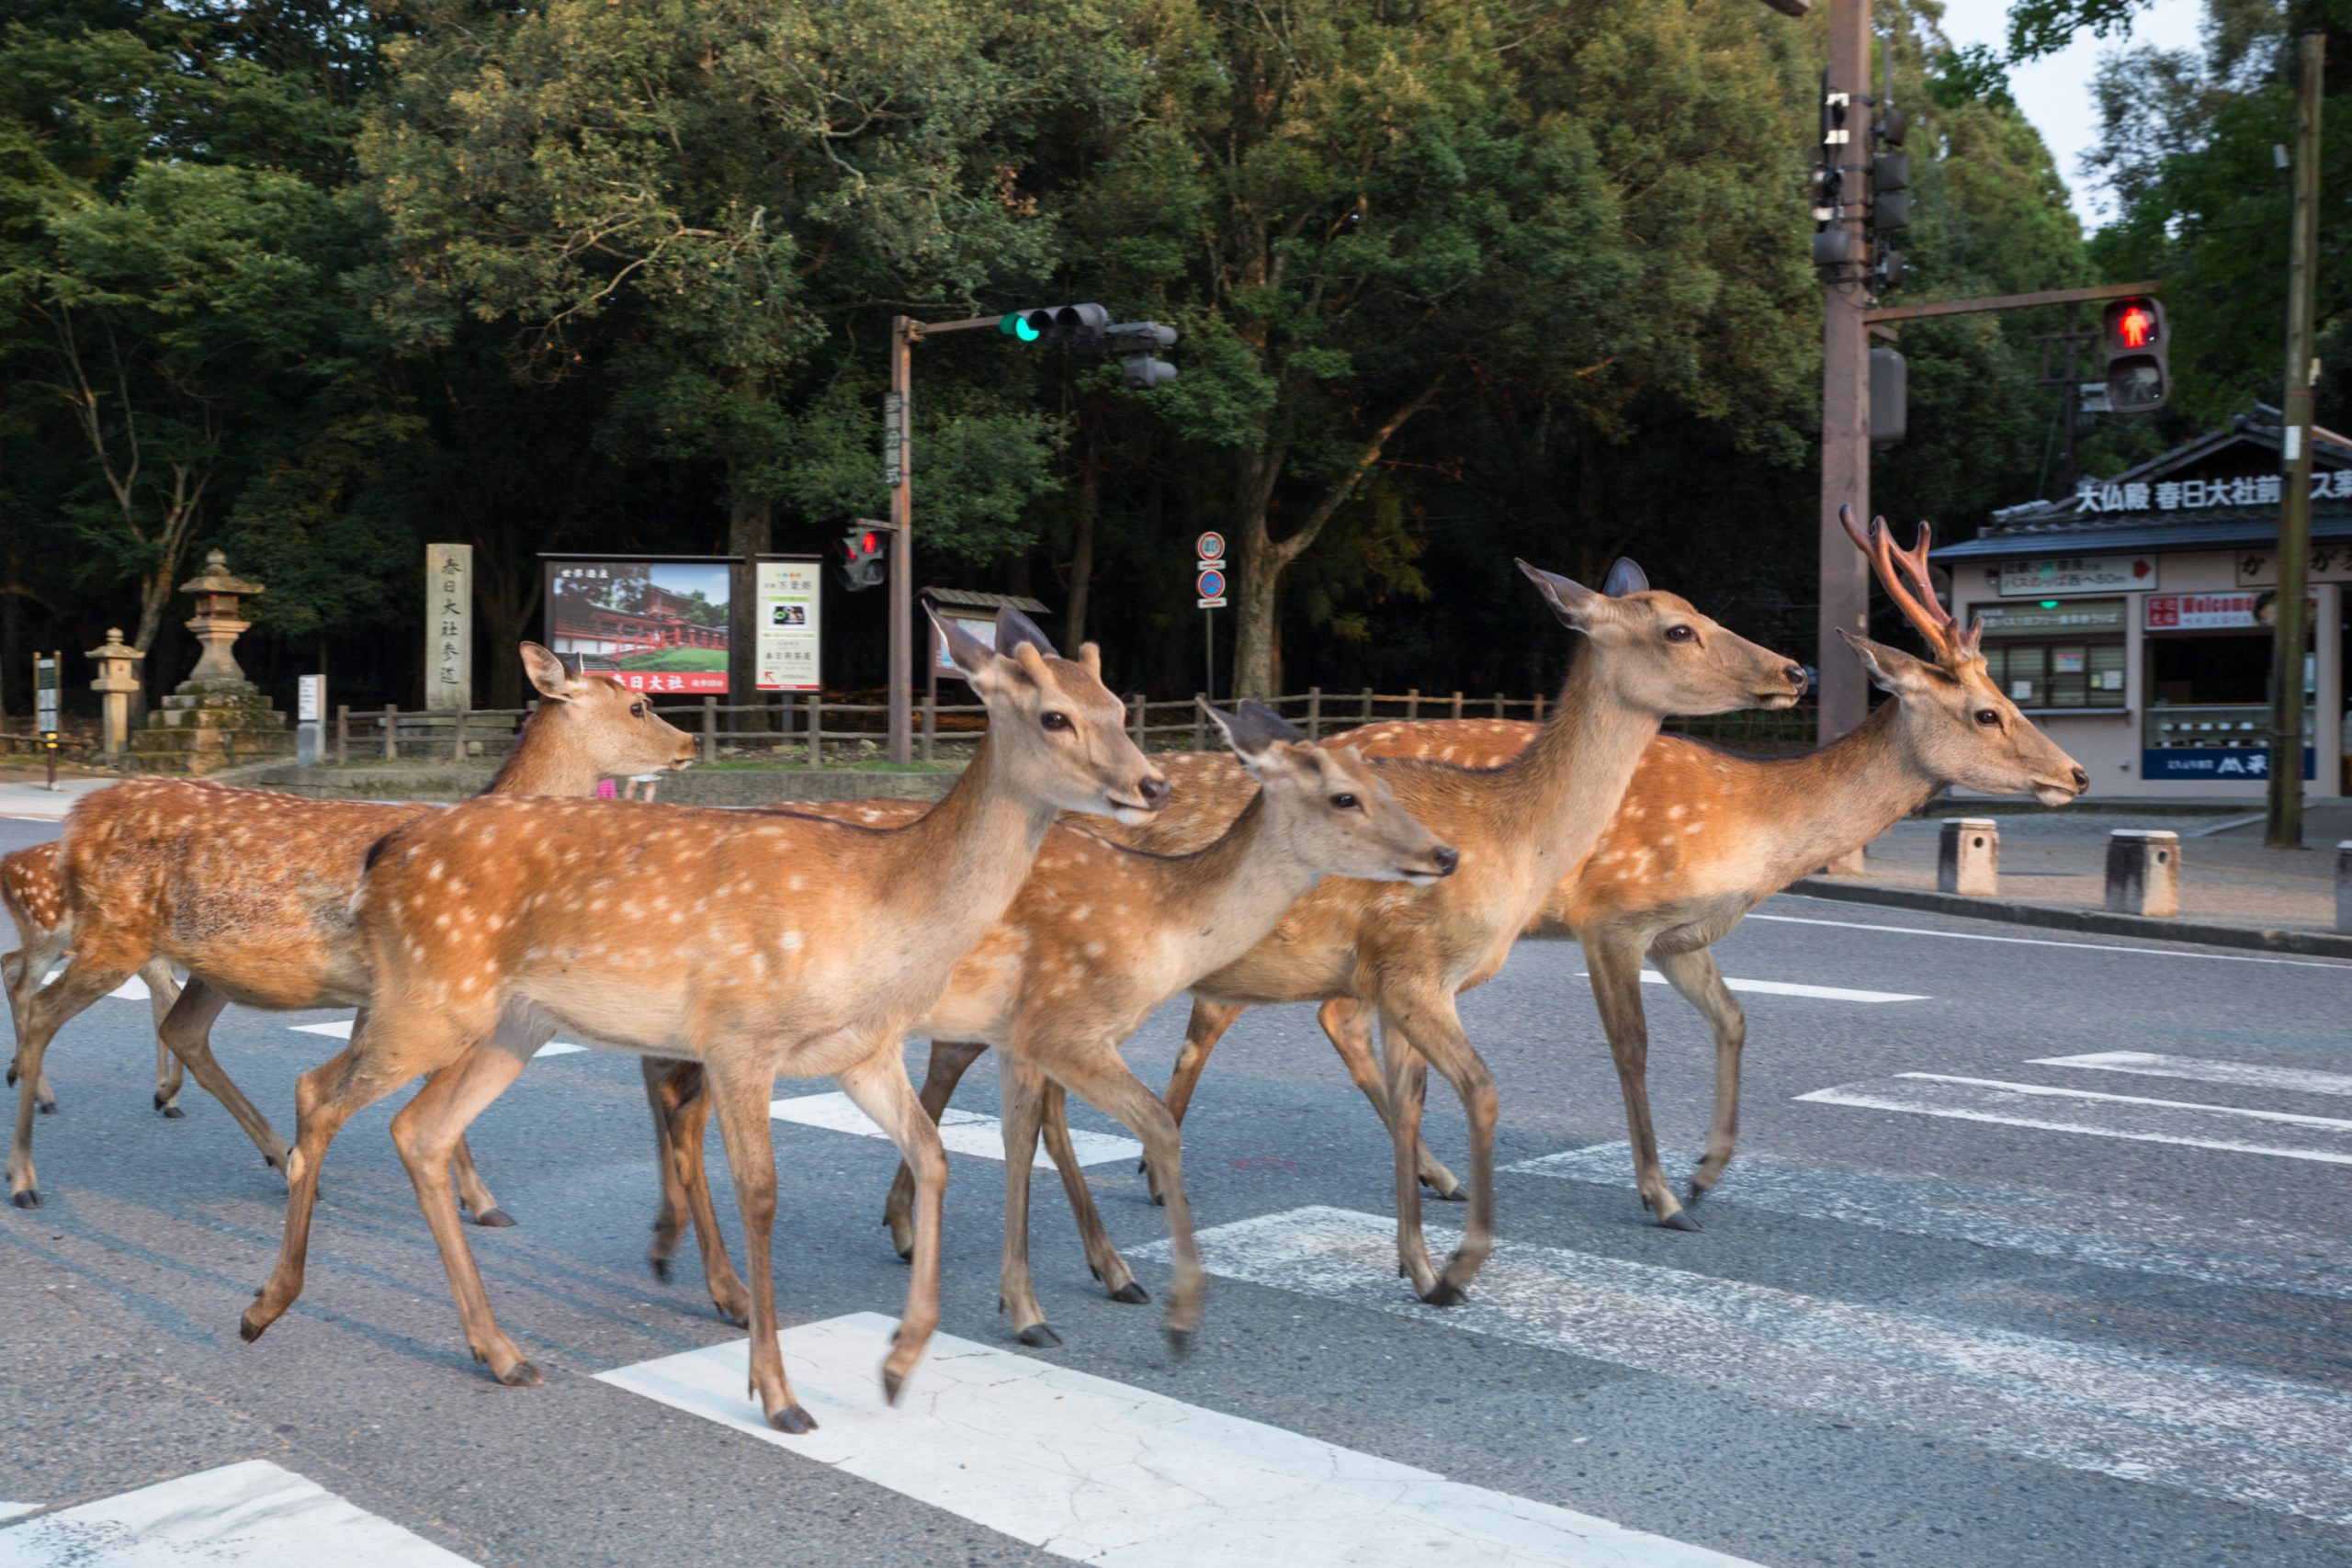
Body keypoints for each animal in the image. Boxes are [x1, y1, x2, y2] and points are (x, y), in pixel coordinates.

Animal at [6, 649, 695, 1213]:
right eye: (638, 705)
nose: (689, 740)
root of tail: (75, 819)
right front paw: (480, 1198)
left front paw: (470, 1195)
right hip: (112, 933)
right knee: (42, 1008)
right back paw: (24, 1173)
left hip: (201, 962)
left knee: (180, 1029)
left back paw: (273, 1152)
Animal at [233, 611, 1170, 1438]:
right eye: (1055, 714)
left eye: (1118, 705)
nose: (1154, 783)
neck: (881, 910)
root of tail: (385, 852)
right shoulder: (740, 1034)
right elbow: (761, 1192)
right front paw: (779, 1392)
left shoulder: (863, 1051)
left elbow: (934, 1157)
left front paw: (900, 1362)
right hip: (432, 997)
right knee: (320, 1089)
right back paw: (265, 1304)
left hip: (510, 1025)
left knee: (419, 1129)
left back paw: (500, 1351)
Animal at [635, 700, 1458, 1354]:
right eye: (1345, 797)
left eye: (1391, 785)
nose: (1444, 852)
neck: (1157, 920)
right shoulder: (1051, 1019)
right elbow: (1081, 1131)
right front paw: (1062, 1310)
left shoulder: (1023, 1032)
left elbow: (1023, 1135)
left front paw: (1063, 1287)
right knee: (687, 1100)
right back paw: (723, 1285)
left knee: (676, 1092)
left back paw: (679, 1253)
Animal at [983, 514, 2088, 1259]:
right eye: (1987, 712)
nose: (2074, 774)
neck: (1755, 836)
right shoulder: (1614, 918)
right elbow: (1632, 1050)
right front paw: (1661, 1193)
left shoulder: (1686, 935)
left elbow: (1736, 1023)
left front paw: (1708, 1170)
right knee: (1199, 1023)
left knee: (1304, 1022)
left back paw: (1412, 1174)